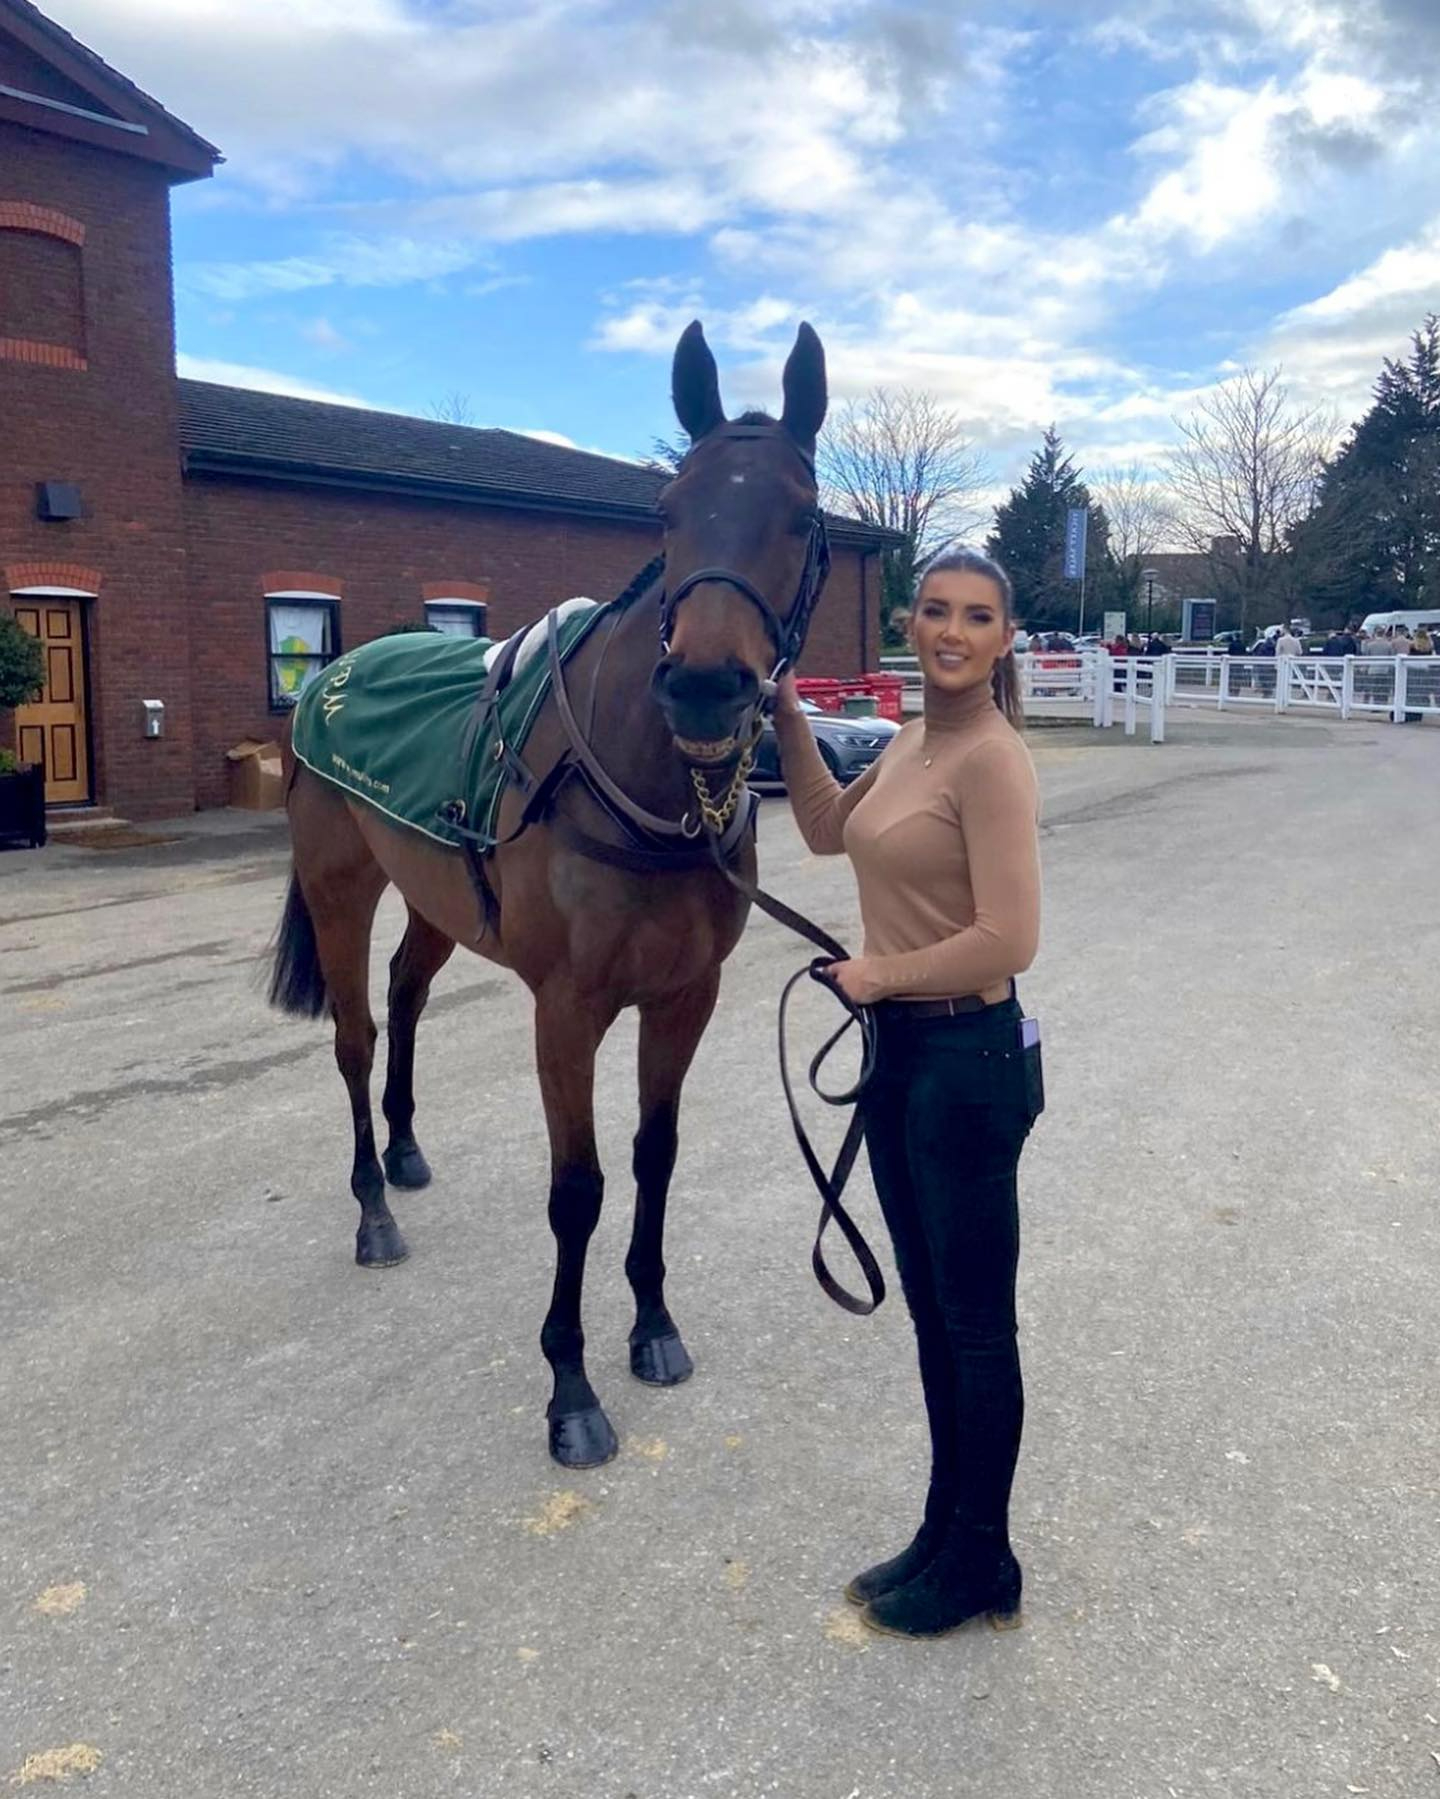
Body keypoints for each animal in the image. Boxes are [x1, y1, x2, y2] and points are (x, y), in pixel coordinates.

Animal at [266, 323, 831, 1467]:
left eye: (800, 515)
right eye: (669, 510)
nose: (702, 687)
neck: (638, 786)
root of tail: (330, 681)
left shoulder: (685, 998)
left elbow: (655, 1158)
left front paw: (652, 1322)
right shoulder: (566, 1011)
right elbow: (580, 1190)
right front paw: (569, 1386)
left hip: (433, 900)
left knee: (406, 995)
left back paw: (404, 1149)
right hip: (341, 888)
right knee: (355, 1034)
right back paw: (373, 1210)